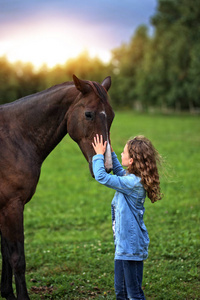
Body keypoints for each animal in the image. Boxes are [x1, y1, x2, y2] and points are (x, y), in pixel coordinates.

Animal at [0, 74, 115, 298]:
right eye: (88, 114)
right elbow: (17, 258)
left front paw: (7, 293)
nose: (107, 166)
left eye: (112, 116)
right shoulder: (12, 206)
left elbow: (6, 254)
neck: (15, 138)